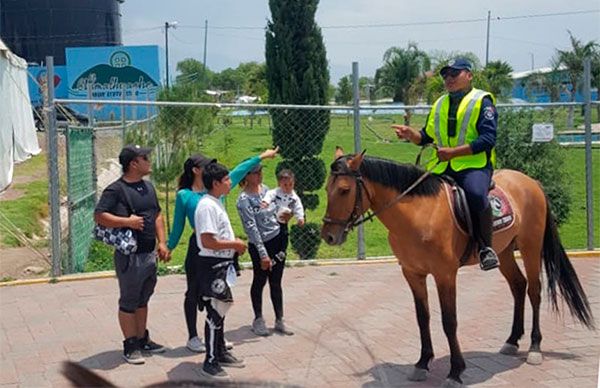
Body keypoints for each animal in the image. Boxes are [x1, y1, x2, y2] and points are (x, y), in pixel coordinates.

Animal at [322, 148, 592, 384]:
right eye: (327, 188)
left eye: (344, 190)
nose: (329, 236)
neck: (419, 213)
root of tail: (531, 182)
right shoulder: (412, 273)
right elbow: (422, 318)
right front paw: (422, 363)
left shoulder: (445, 274)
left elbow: (449, 321)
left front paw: (455, 371)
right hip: (504, 251)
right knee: (518, 286)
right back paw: (512, 340)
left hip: (530, 247)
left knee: (534, 291)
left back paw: (535, 347)